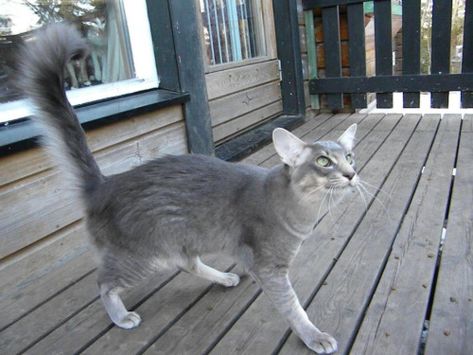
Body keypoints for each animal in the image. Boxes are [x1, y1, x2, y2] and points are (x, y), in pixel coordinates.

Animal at [19, 23, 358, 354]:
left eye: (349, 156)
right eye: (324, 161)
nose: (352, 174)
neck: (299, 210)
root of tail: (105, 184)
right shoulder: (269, 267)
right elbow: (293, 306)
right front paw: (314, 336)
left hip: (182, 238)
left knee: (187, 263)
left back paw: (224, 277)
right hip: (142, 255)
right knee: (104, 282)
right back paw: (121, 316)